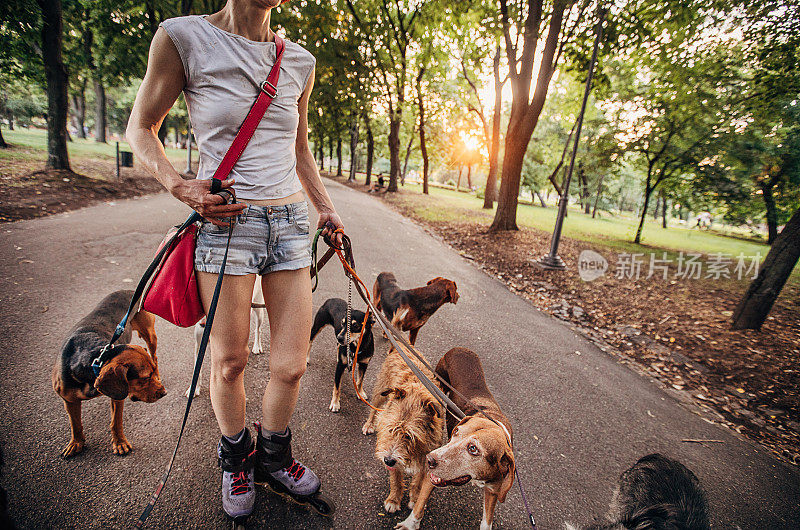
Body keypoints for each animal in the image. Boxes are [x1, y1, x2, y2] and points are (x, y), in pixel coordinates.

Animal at [52, 286, 166, 456]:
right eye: (145, 378)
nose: (164, 393)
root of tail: (131, 290)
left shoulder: (118, 396)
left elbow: (116, 422)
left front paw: (120, 443)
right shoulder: (69, 400)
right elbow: (75, 424)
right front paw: (76, 443)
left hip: (150, 334)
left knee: (155, 356)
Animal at [360, 342, 444, 520]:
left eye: (409, 436)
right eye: (390, 429)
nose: (388, 461)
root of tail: (403, 346)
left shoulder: (426, 460)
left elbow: (418, 482)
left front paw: (416, 500)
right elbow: (396, 480)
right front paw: (393, 500)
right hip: (380, 391)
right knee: (373, 409)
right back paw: (369, 424)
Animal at [398, 346, 516, 528]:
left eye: (473, 449)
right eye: (456, 432)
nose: (429, 460)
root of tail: (460, 348)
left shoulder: (493, 491)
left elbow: (486, 522)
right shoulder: (432, 478)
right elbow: (419, 505)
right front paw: (409, 524)